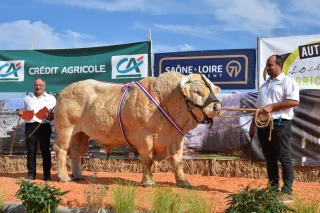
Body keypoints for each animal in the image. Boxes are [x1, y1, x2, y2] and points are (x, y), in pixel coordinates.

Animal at [53, 72, 222, 188]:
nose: (217, 106)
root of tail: (64, 92)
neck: (164, 101)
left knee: (75, 152)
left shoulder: (176, 137)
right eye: (197, 91)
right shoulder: (144, 135)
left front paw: (183, 182)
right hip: (65, 129)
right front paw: (148, 182)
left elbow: (177, 161)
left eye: (212, 90)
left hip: (80, 134)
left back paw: (78, 176)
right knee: (61, 150)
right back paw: (64, 177)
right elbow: (147, 159)